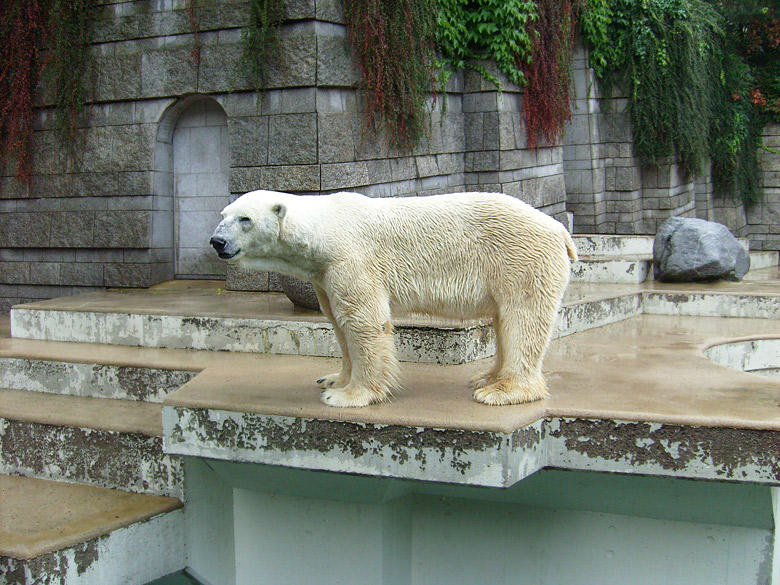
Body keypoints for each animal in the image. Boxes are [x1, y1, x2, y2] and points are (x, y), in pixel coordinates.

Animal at [210, 188, 576, 406]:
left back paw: (502, 390)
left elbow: (364, 322)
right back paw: (486, 376)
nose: (217, 241)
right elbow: (339, 323)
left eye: (245, 219)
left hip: (520, 258)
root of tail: (559, 228)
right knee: (504, 319)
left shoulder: (351, 259)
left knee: (523, 319)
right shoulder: (324, 275)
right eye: (223, 215)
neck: (325, 228)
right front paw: (333, 380)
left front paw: (348, 396)